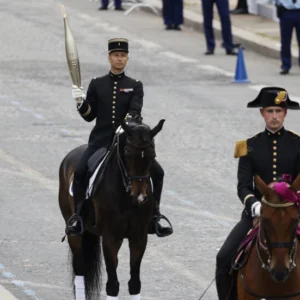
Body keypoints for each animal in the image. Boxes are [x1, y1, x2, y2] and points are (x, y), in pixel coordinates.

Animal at [58, 118, 165, 298]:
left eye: (153, 154)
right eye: (128, 153)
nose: (140, 196)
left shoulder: (139, 237)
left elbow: (135, 283)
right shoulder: (110, 238)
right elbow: (112, 285)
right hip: (75, 232)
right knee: (80, 270)